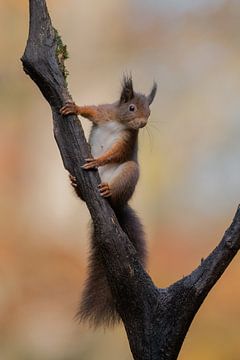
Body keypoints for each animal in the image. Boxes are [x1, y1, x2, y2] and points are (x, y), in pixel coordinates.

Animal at [60, 76, 158, 326]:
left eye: (149, 111)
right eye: (131, 107)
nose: (143, 123)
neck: (119, 123)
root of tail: (118, 208)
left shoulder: (127, 141)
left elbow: (115, 153)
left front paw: (97, 161)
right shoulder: (103, 112)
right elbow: (91, 110)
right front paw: (73, 108)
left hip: (128, 173)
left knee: (117, 186)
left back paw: (107, 189)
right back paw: (76, 184)